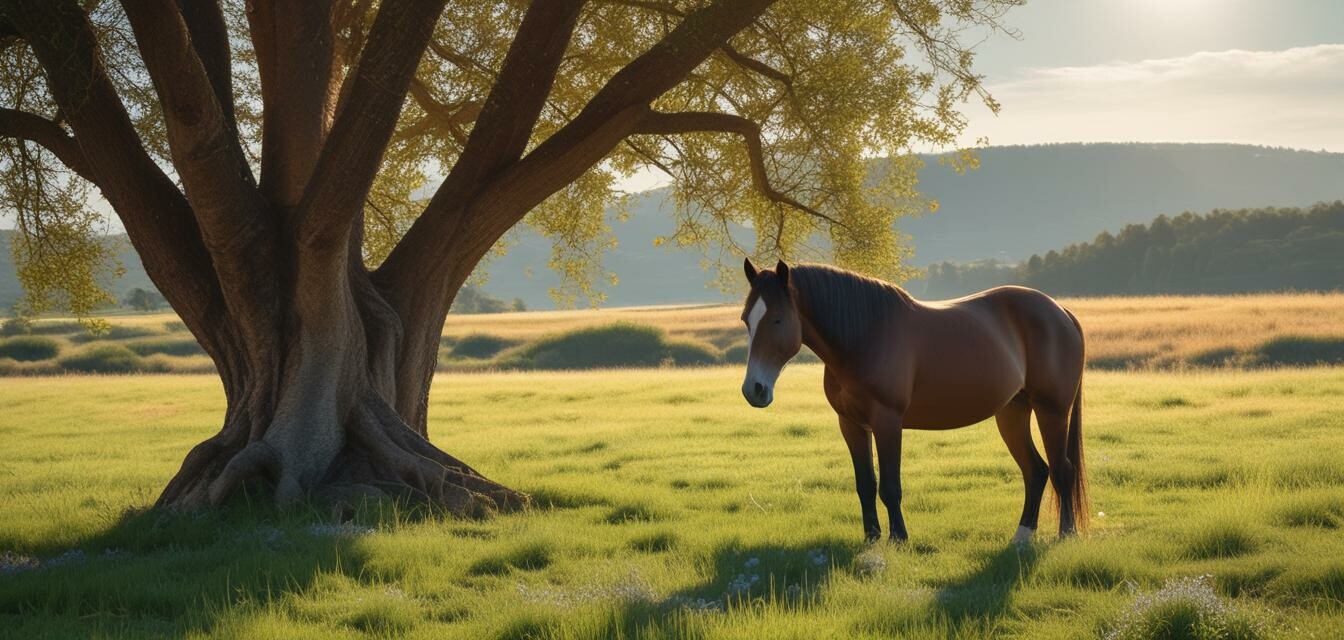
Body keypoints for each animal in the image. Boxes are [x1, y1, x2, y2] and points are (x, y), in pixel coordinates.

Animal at [741, 259, 1085, 545]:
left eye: (777, 320)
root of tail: (1061, 312)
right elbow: (865, 484)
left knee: (1061, 470)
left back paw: (1066, 535)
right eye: (746, 319)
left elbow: (890, 486)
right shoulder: (851, 424)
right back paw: (1022, 536)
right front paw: (871, 538)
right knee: (1036, 470)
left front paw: (899, 539)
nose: (754, 390)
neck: (865, 336)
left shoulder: (888, 422)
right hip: (1012, 412)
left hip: (1052, 411)